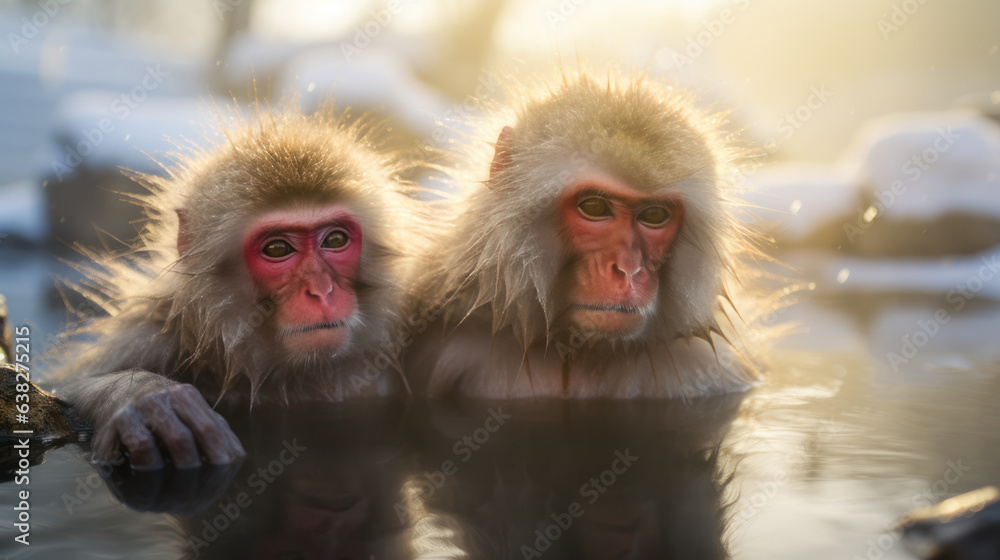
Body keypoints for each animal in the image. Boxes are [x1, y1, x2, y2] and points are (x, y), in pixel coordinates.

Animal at [54, 105, 430, 469]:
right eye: (277, 249)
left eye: (335, 240)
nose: (321, 291)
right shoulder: (152, 334)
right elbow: (69, 388)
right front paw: (148, 401)